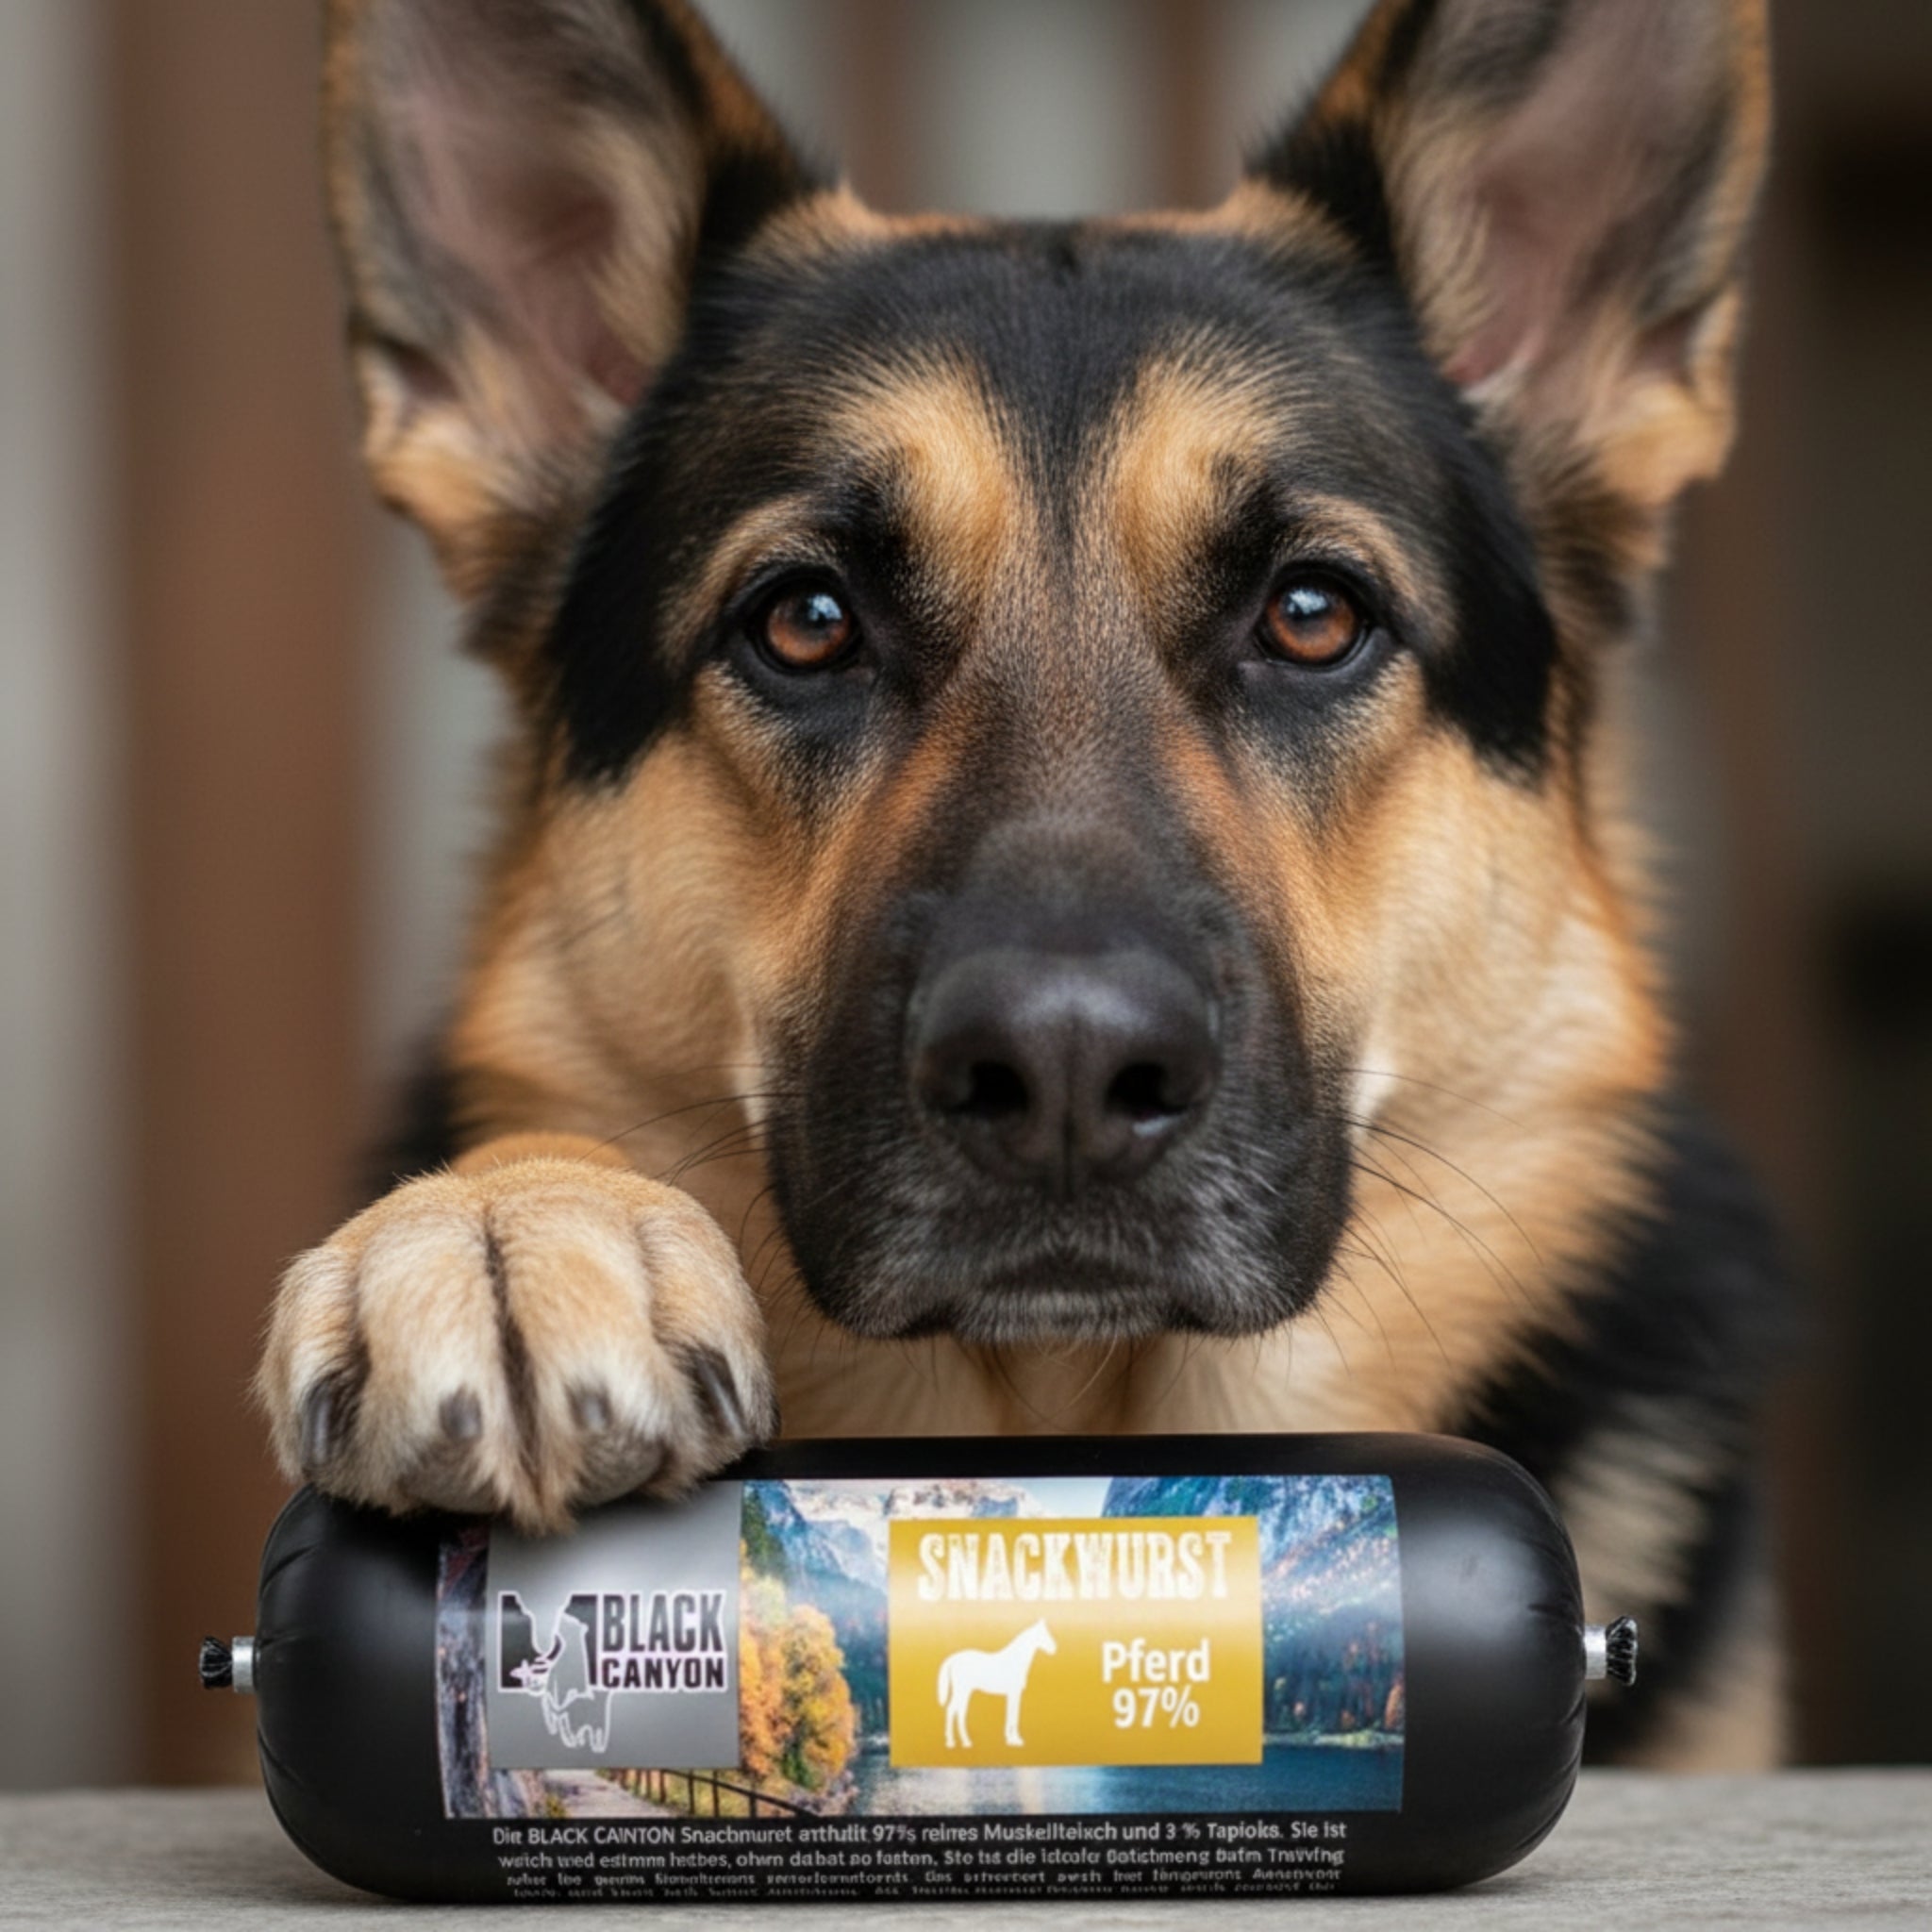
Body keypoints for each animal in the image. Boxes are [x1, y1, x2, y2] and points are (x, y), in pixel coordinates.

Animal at [937, 1618, 1058, 1749]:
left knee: (955, 1711)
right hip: (963, 1691)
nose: (1054, 1649)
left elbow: (1010, 1714)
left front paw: (1009, 1739)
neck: (1015, 1660)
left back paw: (956, 1741)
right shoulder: (1014, 1693)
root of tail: (952, 1659)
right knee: (955, 1711)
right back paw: (960, 1742)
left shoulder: (1011, 1694)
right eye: (1044, 1634)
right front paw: (1016, 1740)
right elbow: (1014, 1716)